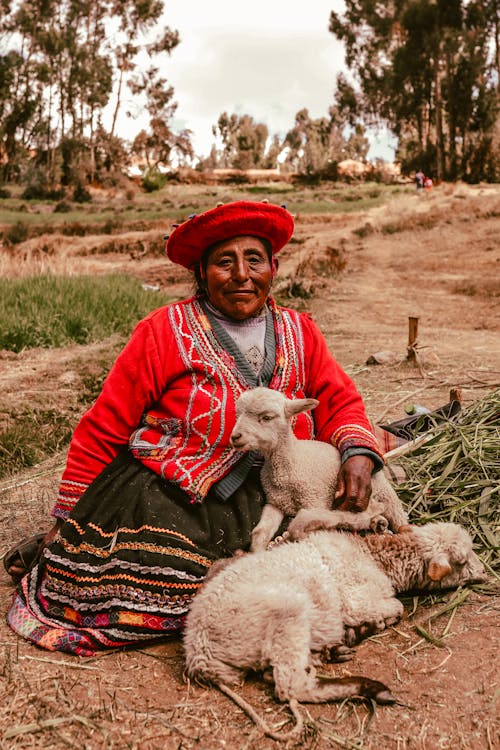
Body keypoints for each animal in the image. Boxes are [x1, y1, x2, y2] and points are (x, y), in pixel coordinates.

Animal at [184, 524, 484, 744]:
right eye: (462, 560)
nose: (483, 571)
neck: (374, 557)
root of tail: (198, 652)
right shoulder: (357, 600)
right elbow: (397, 607)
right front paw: (374, 624)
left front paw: (360, 631)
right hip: (288, 613)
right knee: (290, 685)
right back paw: (367, 684)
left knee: (276, 673)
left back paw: (334, 650)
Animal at [230, 388, 410, 552]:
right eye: (237, 415)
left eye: (266, 417)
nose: (235, 436)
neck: (292, 462)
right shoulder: (275, 503)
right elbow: (259, 533)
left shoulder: (315, 500)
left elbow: (298, 525)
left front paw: (300, 535)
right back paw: (377, 522)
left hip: (386, 494)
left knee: (400, 520)